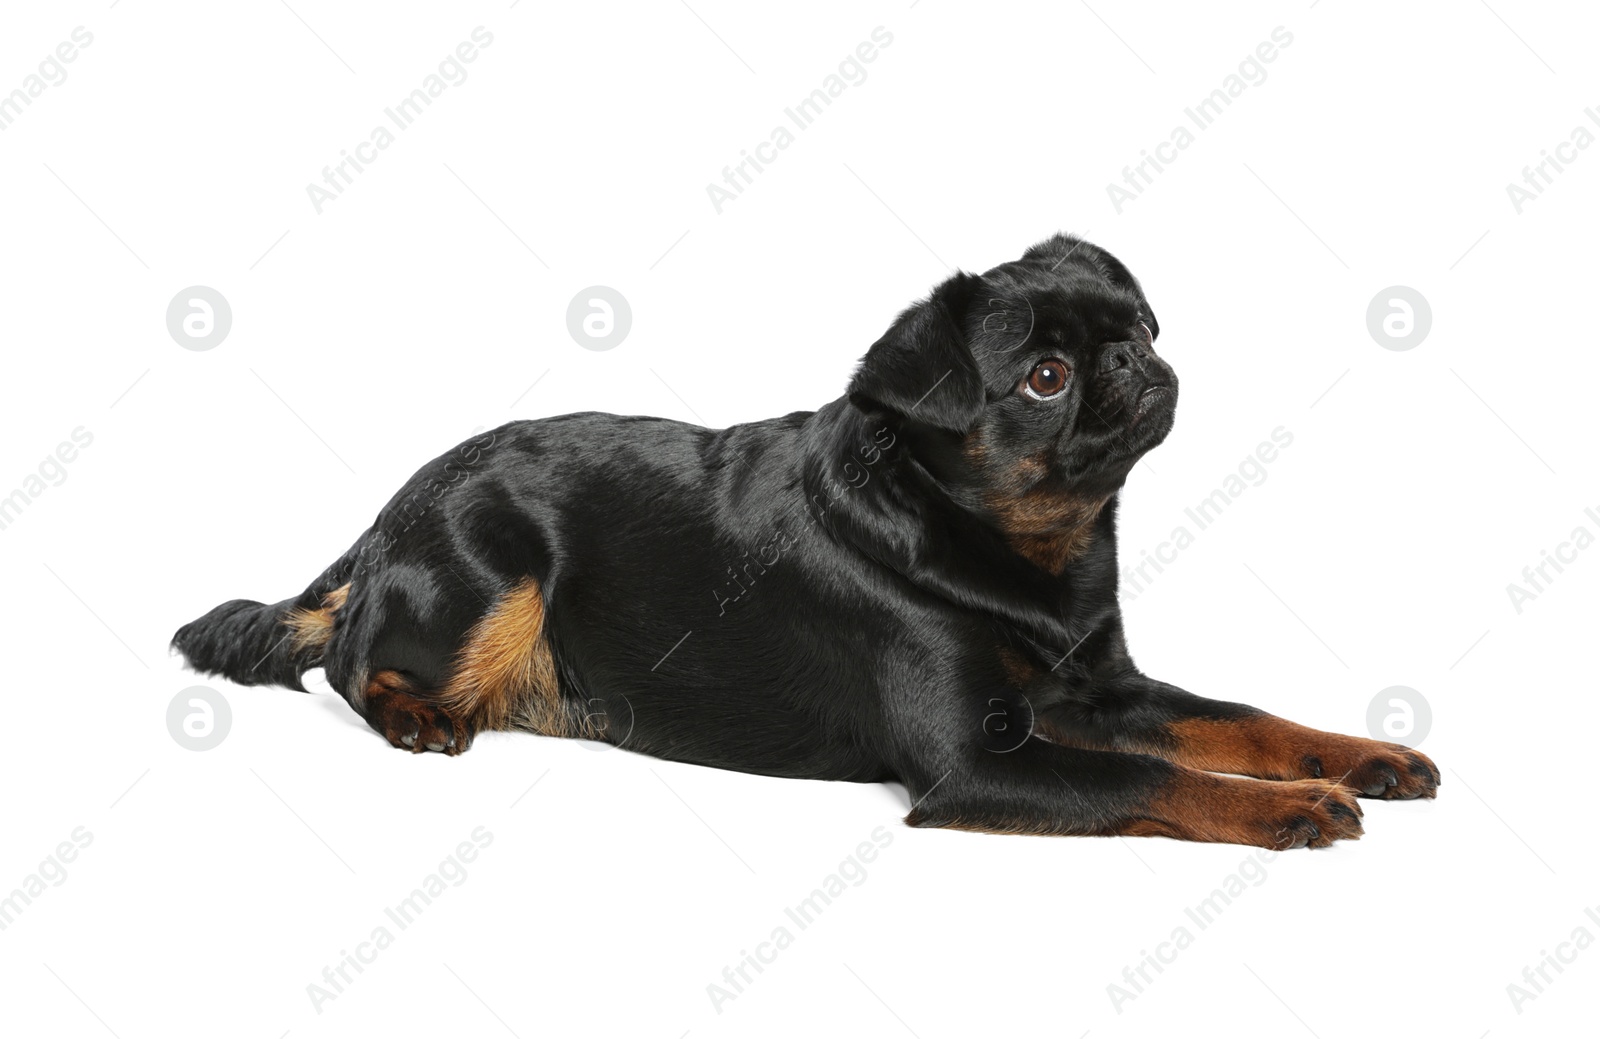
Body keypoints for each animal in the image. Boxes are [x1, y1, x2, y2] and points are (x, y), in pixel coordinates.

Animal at [172, 236, 1440, 851]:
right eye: (1046, 376)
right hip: (497, 571)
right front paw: (1290, 808)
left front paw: (1357, 754)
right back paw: (416, 715)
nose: (1135, 359)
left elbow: (1241, 721)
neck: (1018, 554)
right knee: (349, 663)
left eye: (1136, 327)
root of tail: (384, 518)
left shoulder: (1106, 688)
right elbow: (1156, 774)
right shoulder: (979, 762)